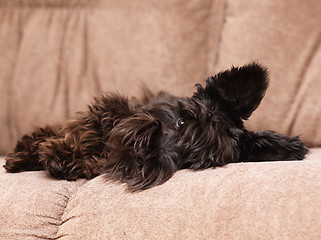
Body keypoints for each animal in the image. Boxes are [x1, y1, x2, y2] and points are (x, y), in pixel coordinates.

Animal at [3, 62, 306, 190]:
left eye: (192, 160)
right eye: (182, 120)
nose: (144, 158)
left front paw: (69, 161)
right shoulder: (110, 109)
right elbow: (85, 130)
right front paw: (54, 153)